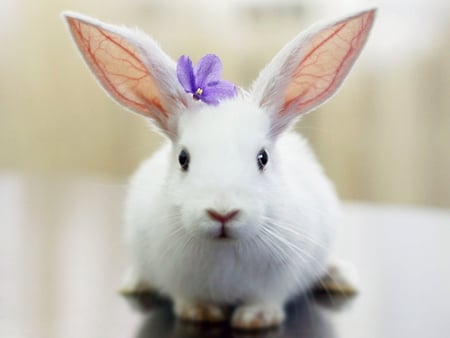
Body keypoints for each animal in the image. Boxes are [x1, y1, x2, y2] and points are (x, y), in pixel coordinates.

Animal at [61, 9, 374, 328]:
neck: (225, 249)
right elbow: (188, 299)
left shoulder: (277, 281)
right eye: (183, 158)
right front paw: (201, 313)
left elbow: (266, 299)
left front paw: (255, 319)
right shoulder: (176, 277)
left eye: (263, 158)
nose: (223, 213)